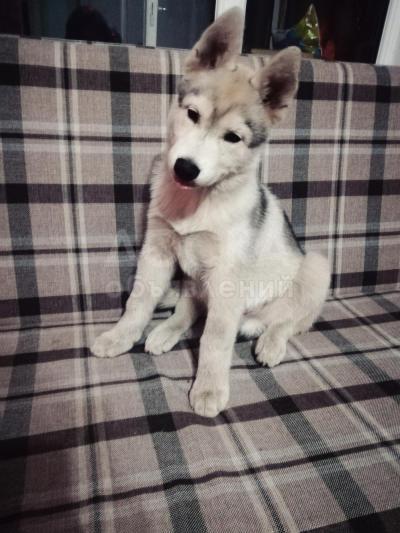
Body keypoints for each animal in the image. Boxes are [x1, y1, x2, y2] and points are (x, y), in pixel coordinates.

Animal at [91, 8, 331, 417]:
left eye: (233, 138)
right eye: (192, 114)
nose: (185, 168)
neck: (196, 201)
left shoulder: (226, 276)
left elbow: (214, 337)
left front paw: (209, 387)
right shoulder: (156, 250)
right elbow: (140, 300)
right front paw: (120, 335)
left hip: (314, 266)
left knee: (290, 320)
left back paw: (270, 342)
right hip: (198, 277)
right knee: (190, 307)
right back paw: (164, 332)